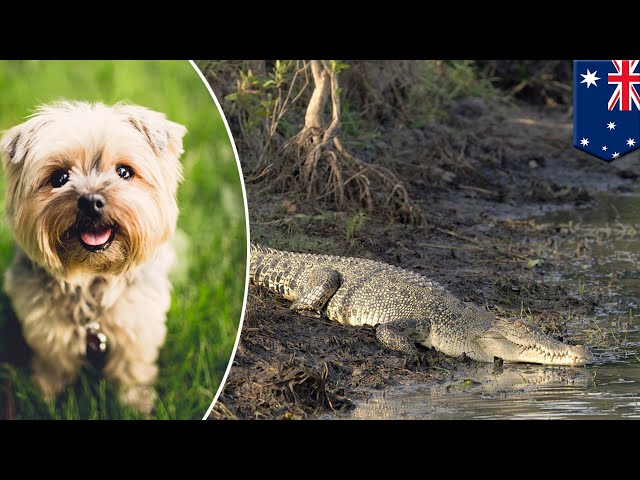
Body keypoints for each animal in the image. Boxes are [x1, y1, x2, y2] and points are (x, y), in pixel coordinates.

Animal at [0, 102, 186, 412]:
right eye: (60, 178)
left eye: (124, 172)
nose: (90, 201)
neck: (90, 276)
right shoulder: (47, 326)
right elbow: (54, 364)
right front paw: (45, 398)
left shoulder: (136, 321)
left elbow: (131, 366)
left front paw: (135, 403)